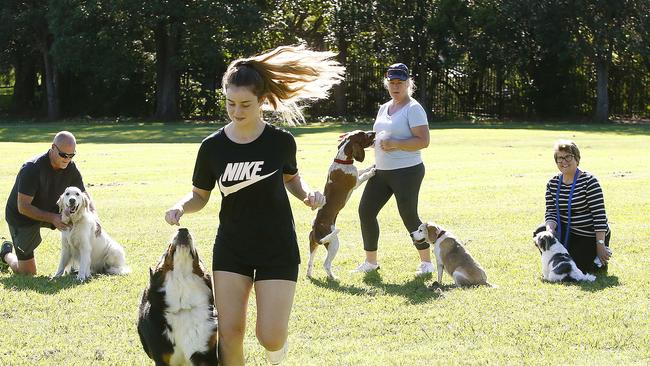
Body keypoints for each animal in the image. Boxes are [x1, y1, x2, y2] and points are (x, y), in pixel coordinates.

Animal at [308, 130, 378, 278]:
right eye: (363, 134)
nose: (374, 132)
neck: (343, 160)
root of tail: (316, 230)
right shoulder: (356, 182)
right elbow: (364, 175)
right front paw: (372, 171)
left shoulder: (356, 173)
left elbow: (362, 169)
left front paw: (372, 166)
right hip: (334, 243)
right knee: (326, 264)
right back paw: (333, 277)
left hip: (313, 245)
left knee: (309, 262)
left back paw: (310, 274)